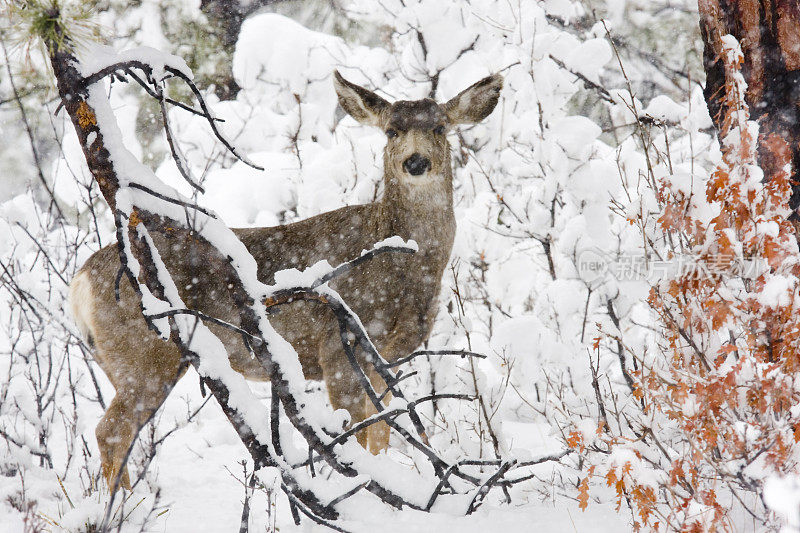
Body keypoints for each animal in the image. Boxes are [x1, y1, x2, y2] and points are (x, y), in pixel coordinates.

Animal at [72, 70, 504, 486]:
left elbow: (381, 436)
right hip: (145, 353)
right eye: (392, 131)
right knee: (111, 431)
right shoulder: (338, 347)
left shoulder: (392, 357)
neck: (404, 272)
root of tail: (80, 281)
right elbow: (357, 436)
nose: (416, 162)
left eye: (440, 127)